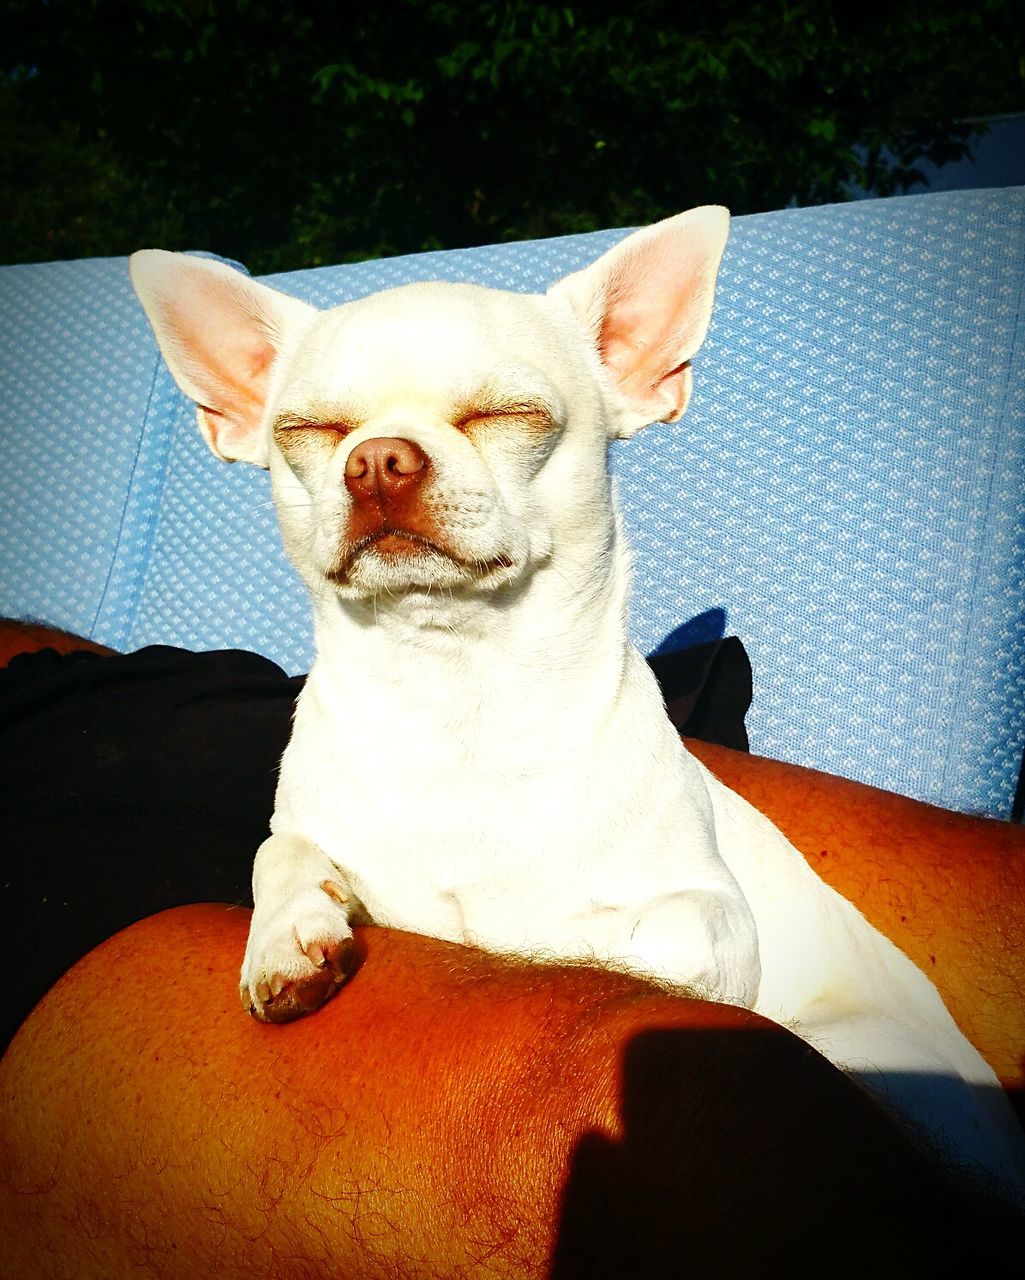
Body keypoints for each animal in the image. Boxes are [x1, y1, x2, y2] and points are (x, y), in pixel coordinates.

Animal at [131, 209, 1018, 1198]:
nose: (377, 460)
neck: (458, 692)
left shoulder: (713, 917)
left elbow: (639, 937)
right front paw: (288, 938)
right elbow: (279, 852)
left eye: (509, 415)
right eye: (308, 431)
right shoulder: (310, 831)